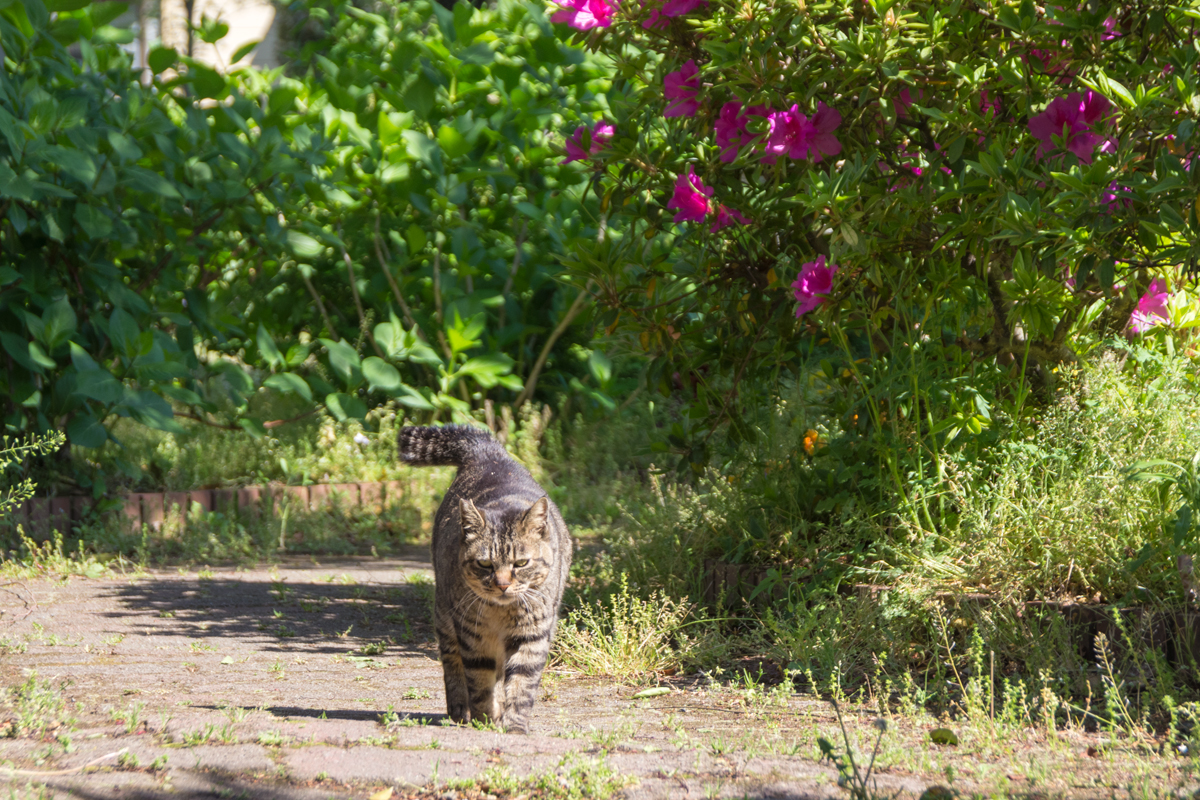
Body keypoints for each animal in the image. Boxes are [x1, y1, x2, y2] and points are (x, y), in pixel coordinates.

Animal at [398, 424, 571, 734]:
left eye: (521, 563)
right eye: (484, 564)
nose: (502, 584)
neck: (501, 614)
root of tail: (490, 453)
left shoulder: (532, 634)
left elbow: (521, 683)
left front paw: (514, 726)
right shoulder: (473, 635)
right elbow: (479, 682)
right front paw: (484, 719)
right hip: (445, 617)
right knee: (453, 665)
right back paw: (459, 711)